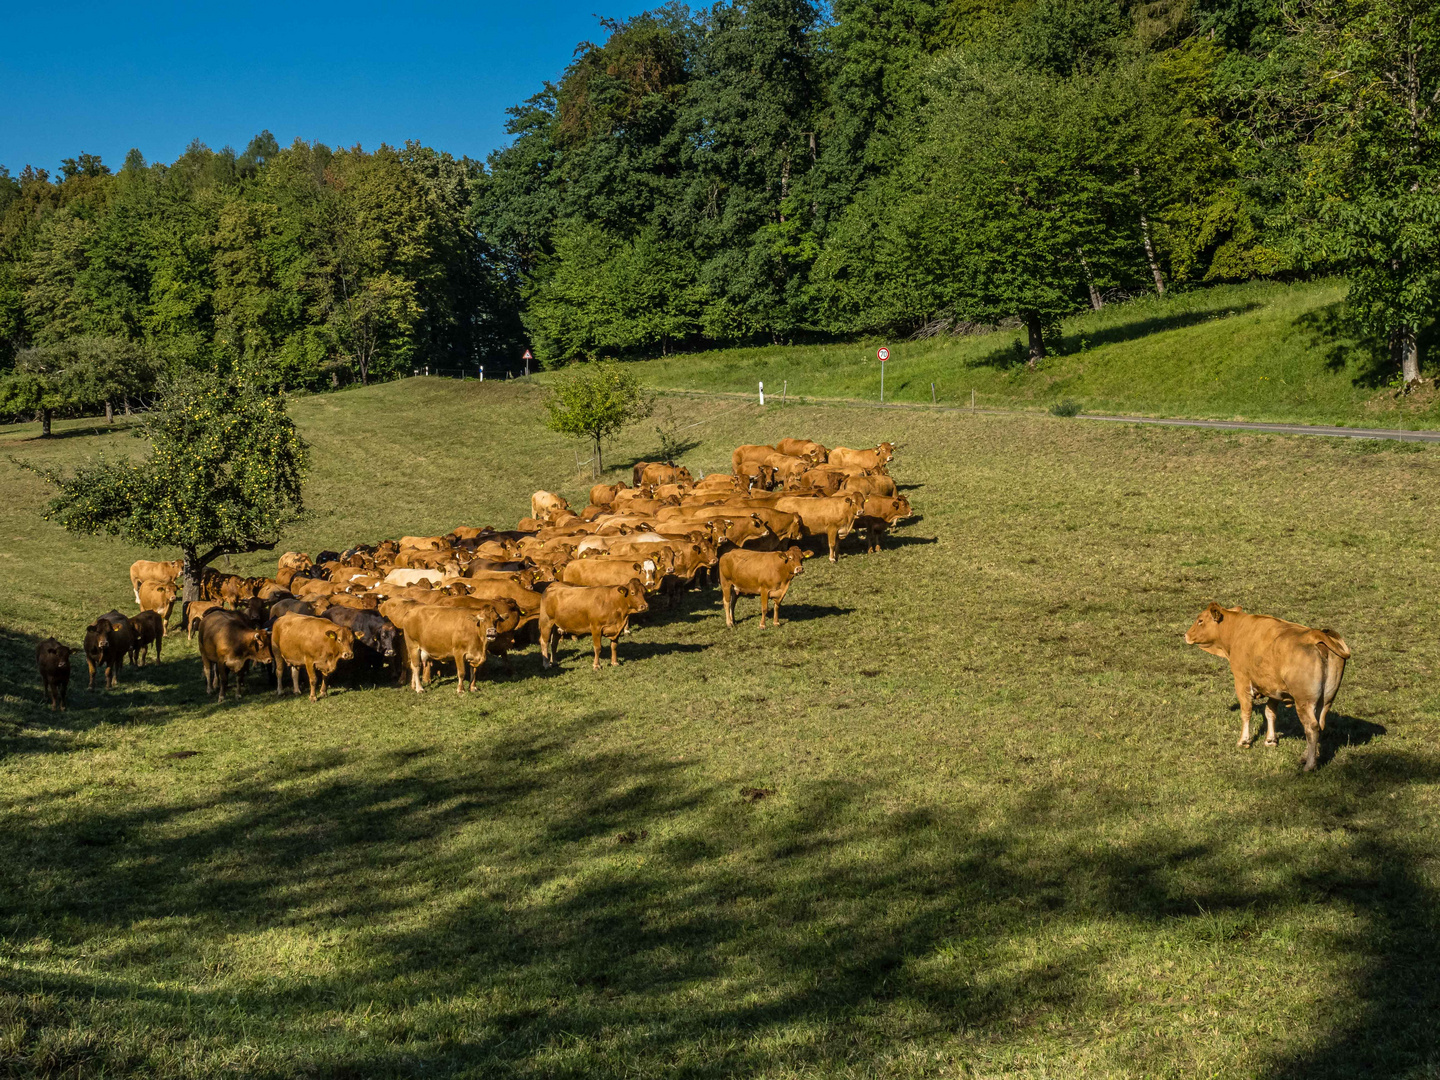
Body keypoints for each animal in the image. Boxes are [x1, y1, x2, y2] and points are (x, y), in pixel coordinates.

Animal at [1180, 604, 1347, 771]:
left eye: (1200, 620)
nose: (1186, 635)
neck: (1237, 630)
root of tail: (1316, 635)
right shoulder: (1273, 689)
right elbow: (1270, 713)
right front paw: (1270, 740)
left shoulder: (1241, 681)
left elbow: (1246, 712)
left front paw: (1244, 741)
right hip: (1326, 700)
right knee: (1319, 725)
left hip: (1304, 701)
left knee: (1311, 727)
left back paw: (1309, 765)